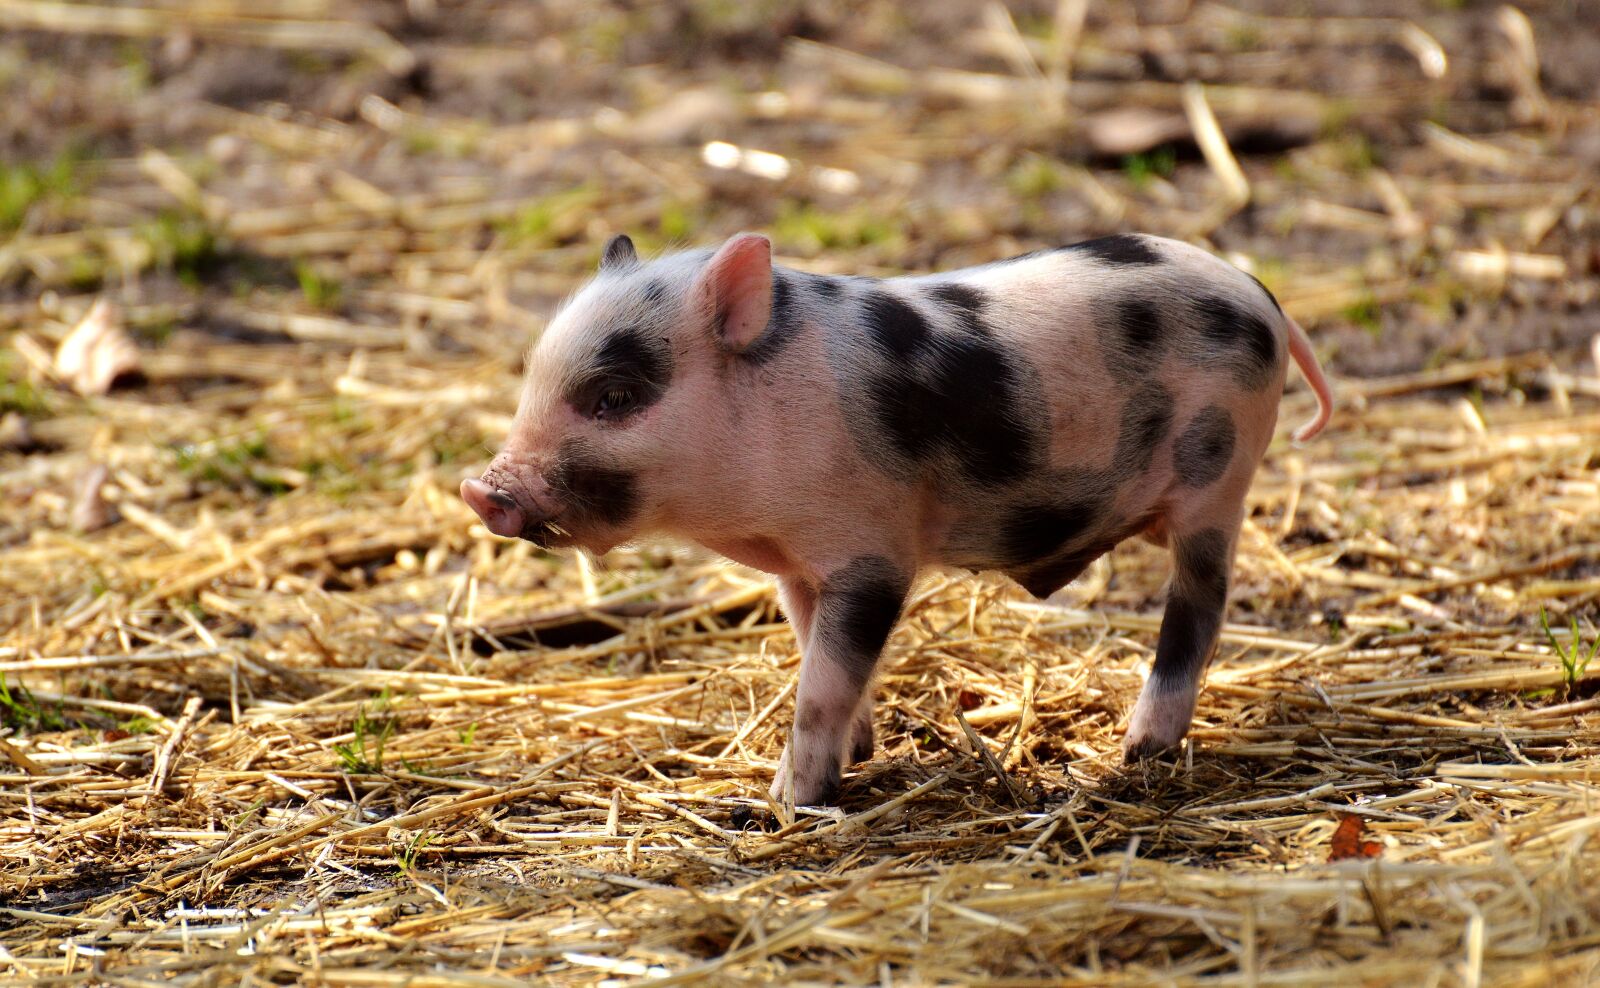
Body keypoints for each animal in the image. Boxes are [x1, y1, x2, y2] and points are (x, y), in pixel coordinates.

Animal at [462, 231, 1333, 806]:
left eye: (615, 397)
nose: (481, 488)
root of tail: (1260, 295)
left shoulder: (871, 554)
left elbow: (824, 678)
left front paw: (788, 799)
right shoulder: (799, 564)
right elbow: (814, 650)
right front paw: (861, 749)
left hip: (1218, 477)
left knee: (1200, 605)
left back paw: (1139, 752)